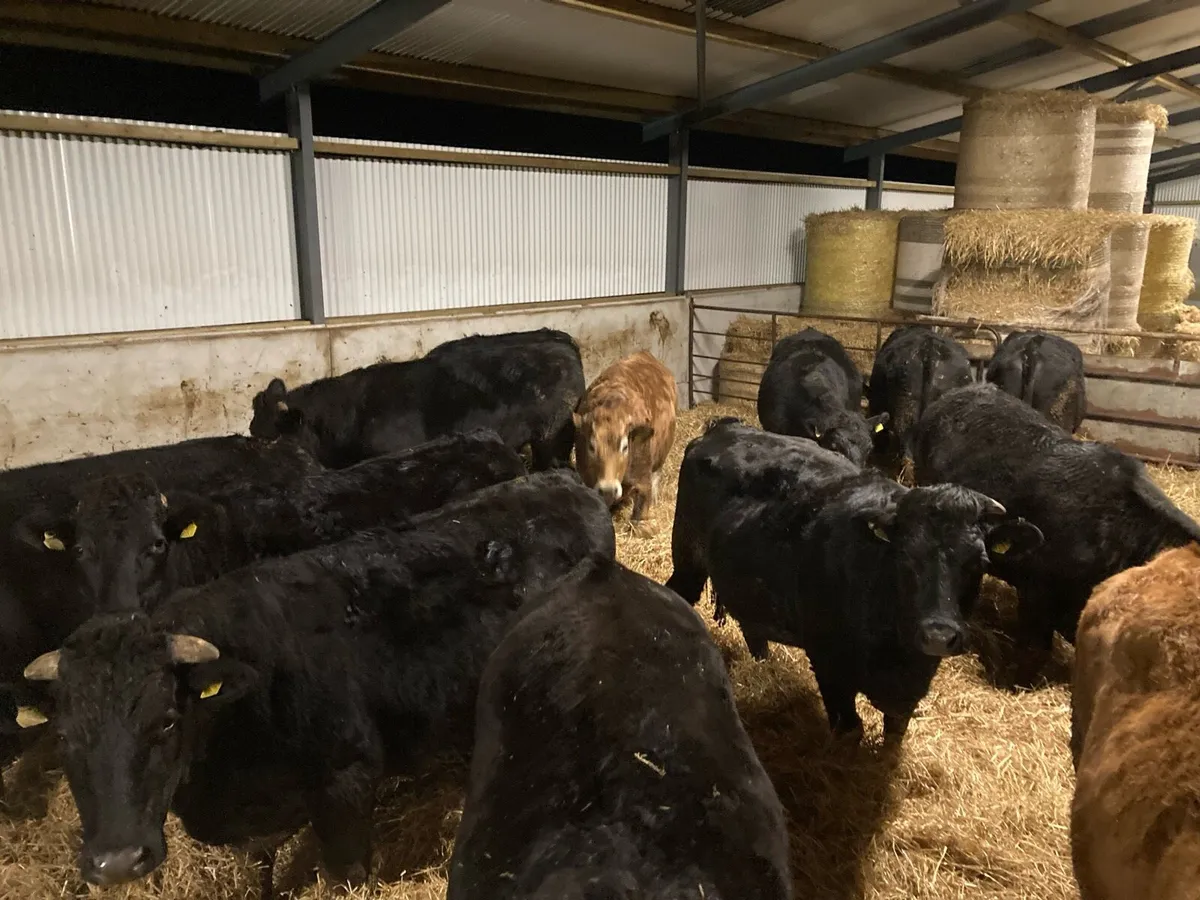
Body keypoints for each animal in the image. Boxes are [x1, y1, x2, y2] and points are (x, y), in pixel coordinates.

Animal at [6, 469, 615, 899]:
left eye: (167, 721)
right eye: (64, 736)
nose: (115, 863)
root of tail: (561, 481)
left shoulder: (346, 784)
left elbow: (345, 874)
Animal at [667, 417, 1042, 740]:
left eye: (978, 563)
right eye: (905, 555)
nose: (938, 635)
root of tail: (724, 427)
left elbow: (895, 731)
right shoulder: (828, 663)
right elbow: (849, 729)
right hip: (687, 559)